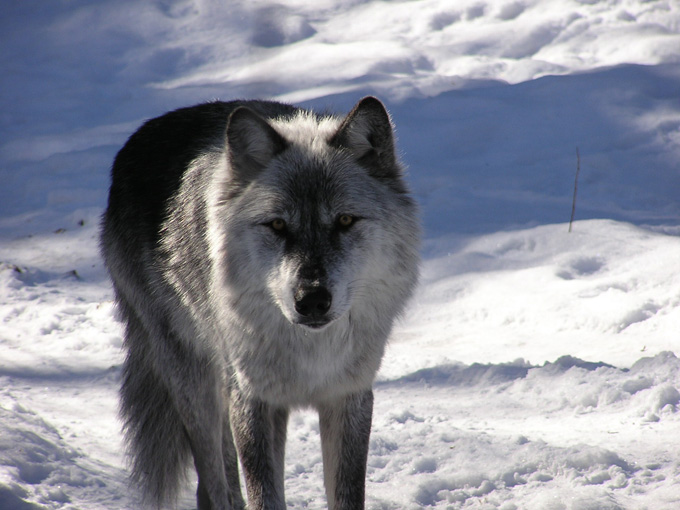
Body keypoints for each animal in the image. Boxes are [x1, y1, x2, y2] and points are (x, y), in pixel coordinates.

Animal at [100, 96, 420, 510]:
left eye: (345, 220)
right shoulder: (253, 400)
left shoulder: (348, 397)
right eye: (278, 225)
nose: (312, 300)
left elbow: (348, 495)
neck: (310, 350)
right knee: (215, 483)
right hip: (199, 388)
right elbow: (263, 495)